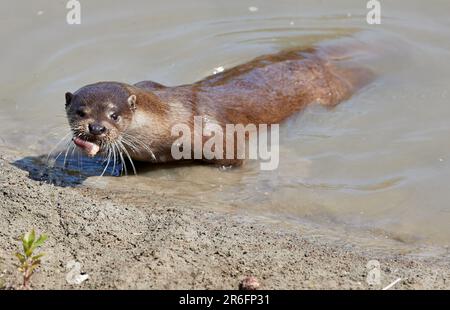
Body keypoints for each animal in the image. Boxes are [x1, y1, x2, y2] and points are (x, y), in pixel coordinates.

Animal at [64, 46, 372, 172]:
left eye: (114, 115)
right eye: (80, 112)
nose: (96, 127)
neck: (168, 122)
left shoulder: (217, 136)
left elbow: (234, 156)